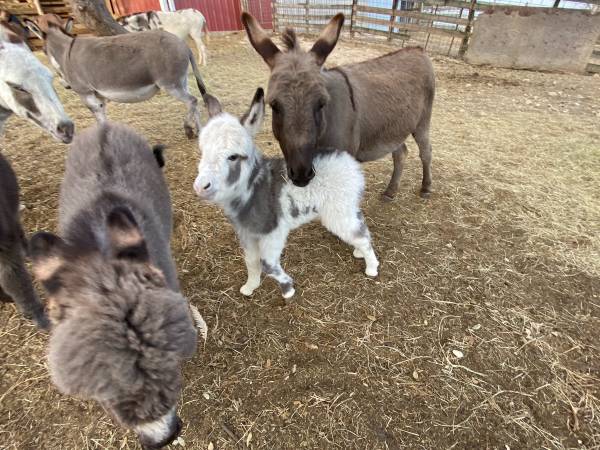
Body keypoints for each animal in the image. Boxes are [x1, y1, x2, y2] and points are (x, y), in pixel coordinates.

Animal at [195, 88, 378, 298]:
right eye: (202, 151)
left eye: (233, 156)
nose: (200, 187)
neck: (254, 189)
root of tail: (349, 161)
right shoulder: (248, 235)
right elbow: (251, 262)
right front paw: (250, 287)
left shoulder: (273, 234)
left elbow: (267, 264)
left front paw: (288, 289)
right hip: (345, 207)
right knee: (360, 226)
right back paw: (360, 252)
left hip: (337, 213)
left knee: (359, 234)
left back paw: (372, 268)